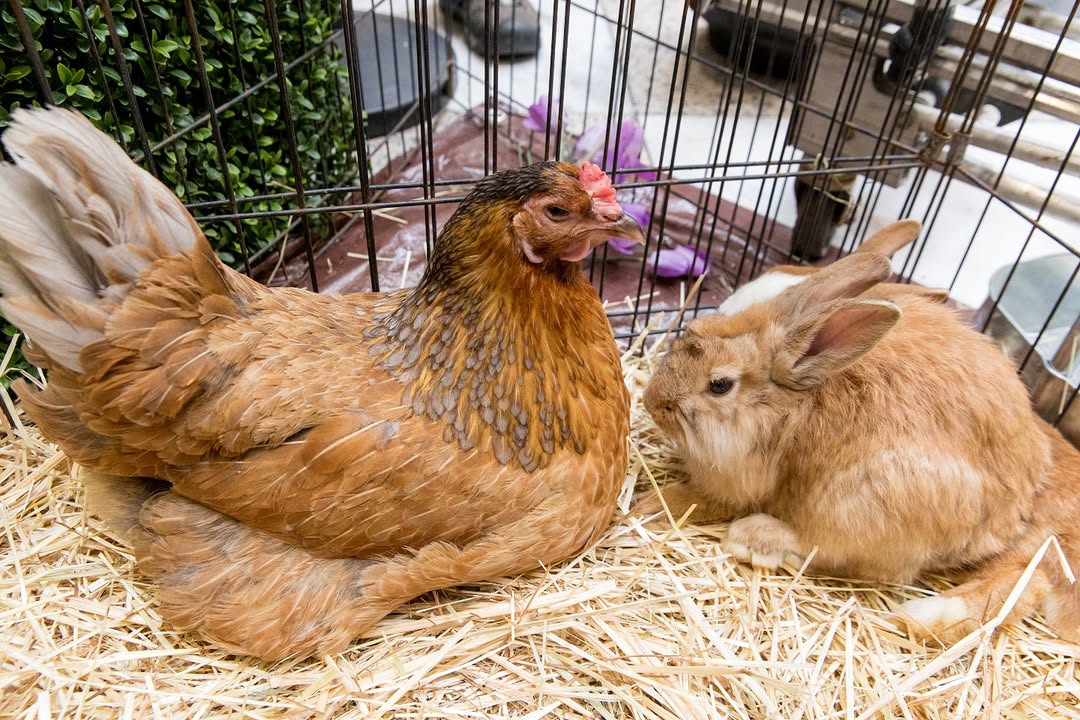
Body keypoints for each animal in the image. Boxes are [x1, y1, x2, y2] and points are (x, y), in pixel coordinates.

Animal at [639, 238, 1080, 645]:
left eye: (719, 385)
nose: (651, 401)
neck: (792, 405)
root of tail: (1016, 506)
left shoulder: (741, 482)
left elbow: (699, 500)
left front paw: (649, 506)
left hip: (865, 503)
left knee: (839, 552)